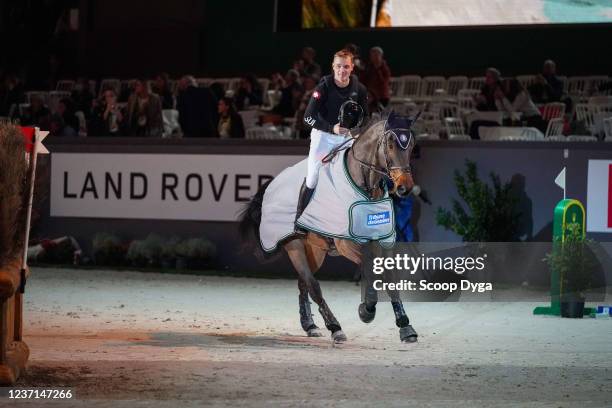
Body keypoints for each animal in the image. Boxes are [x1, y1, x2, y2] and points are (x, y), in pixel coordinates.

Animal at [239, 111, 420, 342]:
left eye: (412, 145)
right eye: (389, 144)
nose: (405, 187)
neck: (364, 186)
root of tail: (272, 183)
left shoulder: (383, 241)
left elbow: (388, 278)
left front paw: (406, 326)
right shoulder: (347, 245)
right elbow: (371, 270)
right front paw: (366, 310)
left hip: (315, 249)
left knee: (303, 282)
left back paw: (310, 325)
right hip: (294, 245)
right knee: (312, 284)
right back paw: (334, 327)